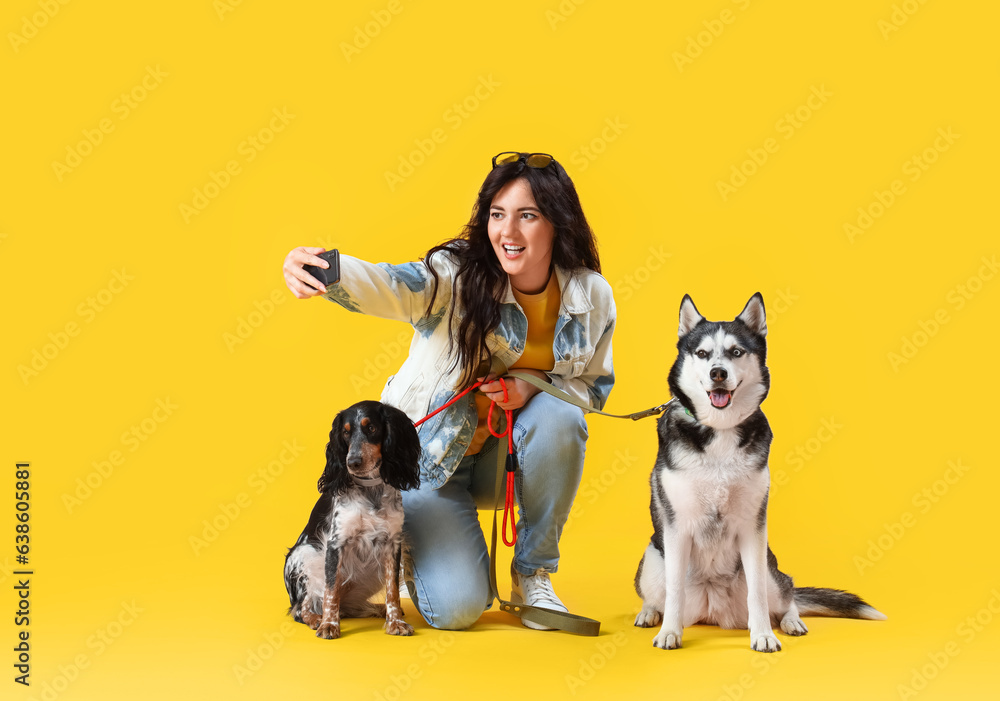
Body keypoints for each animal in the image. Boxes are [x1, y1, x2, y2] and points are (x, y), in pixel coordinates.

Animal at [284, 400, 420, 640]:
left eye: (371, 428)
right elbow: (331, 592)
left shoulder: (392, 544)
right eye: (345, 433)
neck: (370, 491)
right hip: (306, 558)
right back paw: (316, 619)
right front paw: (329, 625)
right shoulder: (336, 543)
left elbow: (393, 591)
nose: (353, 461)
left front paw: (395, 622)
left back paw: (377, 609)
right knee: (301, 608)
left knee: (347, 607)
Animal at [632, 294, 884, 652]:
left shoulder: (752, 527)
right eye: (702, 353)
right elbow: (674, 591)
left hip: (768, 565)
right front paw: (669, 632)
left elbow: (758, 594)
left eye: (736, 352)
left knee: (786, 593)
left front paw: (764, 634)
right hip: (652, 561)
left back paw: (791, 622)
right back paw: (650, 613)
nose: (718, 373)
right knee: (659, 595)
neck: (720, 430)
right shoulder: (677, 527)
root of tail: (712, 609)